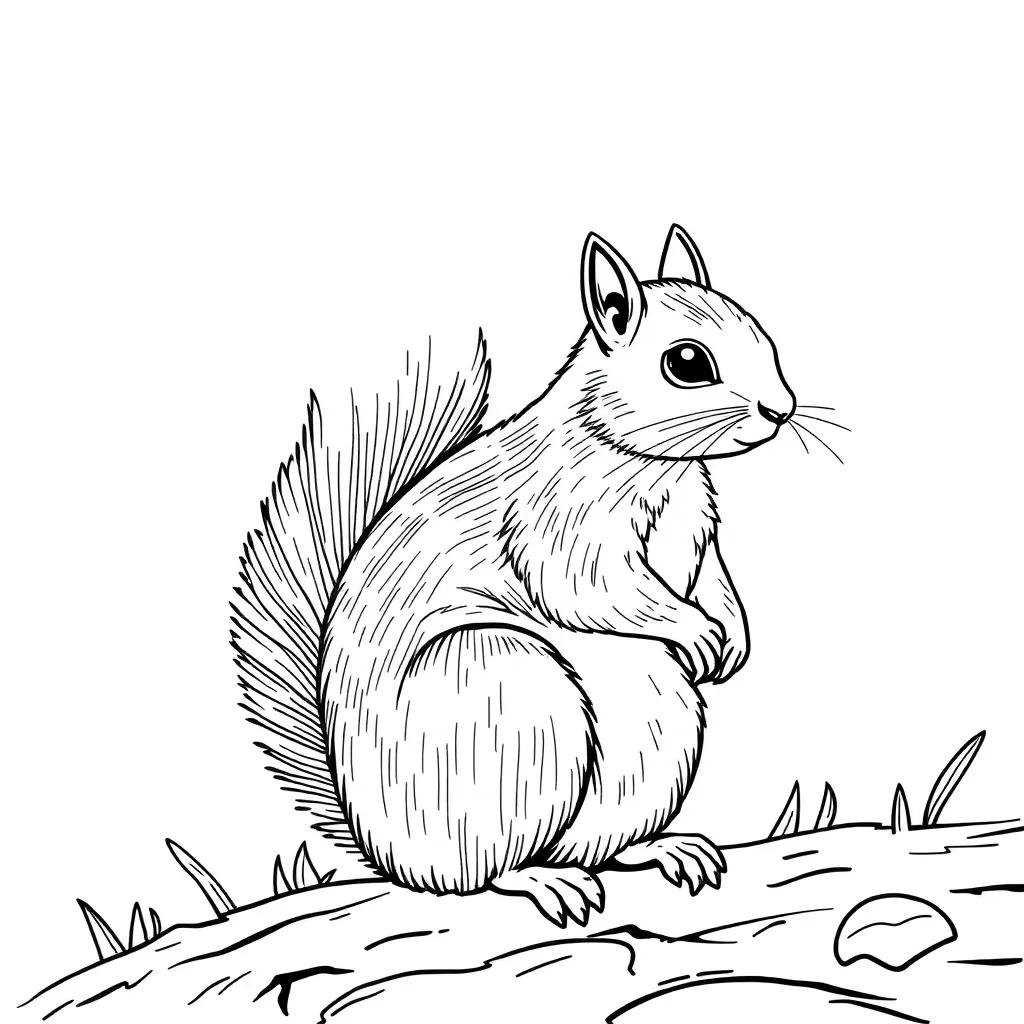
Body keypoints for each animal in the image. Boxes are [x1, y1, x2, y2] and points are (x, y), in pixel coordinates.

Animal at [231, 224, 797, 926]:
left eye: (763, 335)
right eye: (687, 363)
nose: (782, 409)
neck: (657, 464)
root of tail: (383, 848)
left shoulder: (697, 530)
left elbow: (716, 580)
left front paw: (732, 640)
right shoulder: (561, 523)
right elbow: (594, 590)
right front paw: (694, 632)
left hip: (655, 749)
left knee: (600, 848)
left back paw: (666, 848)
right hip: (507, 696)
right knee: (483, 872)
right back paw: (543, 881)